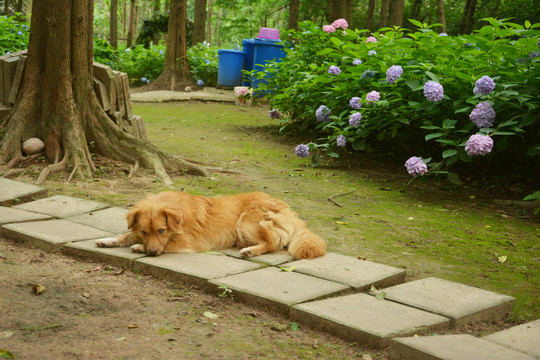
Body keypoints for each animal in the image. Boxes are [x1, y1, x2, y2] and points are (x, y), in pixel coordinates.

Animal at [95, 190, 326, 260]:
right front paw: (107, 240)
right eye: (144, 231)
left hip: (247, 221)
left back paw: (250, 250)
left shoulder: (188, 244)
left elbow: (166, 245)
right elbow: (124, 236)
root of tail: (289, 209)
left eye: (161, 230)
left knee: (272, 243)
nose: (151, 252)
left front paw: (138, 247)